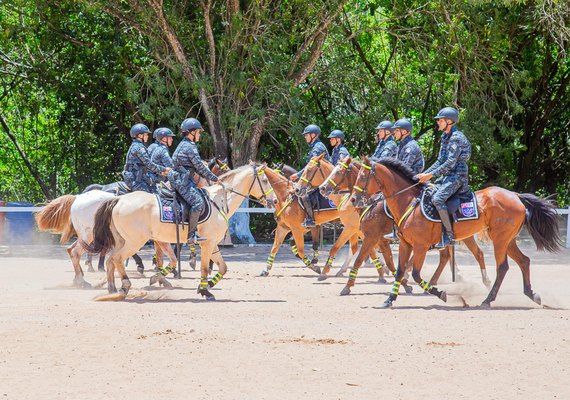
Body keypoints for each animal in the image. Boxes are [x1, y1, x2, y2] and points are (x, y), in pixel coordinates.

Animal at [85, 162, 278, 300]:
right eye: (265, 180)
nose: (275, 201)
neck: (220, 201)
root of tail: (118, 199)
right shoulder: (206, 244)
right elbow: (203, 268)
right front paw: (205, 290)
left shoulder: (213, 244)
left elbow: (223, 267)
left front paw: (208, 285)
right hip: (134, 242)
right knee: (117, 259)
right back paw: (124, 286)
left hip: (122, 241)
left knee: (110, 260)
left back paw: (112, 288)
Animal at [318, 155, 490, 294]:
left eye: (339, 172)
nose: (322, 188)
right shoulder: (376, 238)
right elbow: (388, 262)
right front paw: (399, 281)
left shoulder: (372, 236)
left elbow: (364, 259)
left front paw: (345, 285)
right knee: (452, 256)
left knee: (473, 254)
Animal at [348, 158, 556, 308]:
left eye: (363, 176)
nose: (353, 199)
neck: (409, 202)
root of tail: (515, 196)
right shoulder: (406, 244)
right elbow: (399, 271)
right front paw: (389, 300)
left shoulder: (420, 246)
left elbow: (415, 274)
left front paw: (440, 293)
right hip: (508, 240)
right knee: (523, 261)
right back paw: (531, 294)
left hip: (500, 240)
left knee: (502, 267)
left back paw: (488, 299)